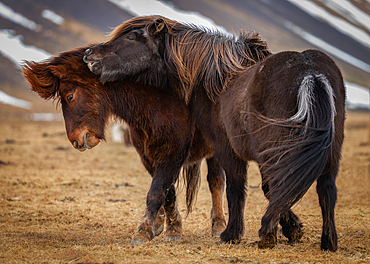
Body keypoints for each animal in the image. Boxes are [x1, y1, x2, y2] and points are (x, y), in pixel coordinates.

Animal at [23, 45, 227, 245]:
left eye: (70, 96)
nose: (76, 140)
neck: (158, 100)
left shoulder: (173, 152)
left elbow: (156, 192)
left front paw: (144, 233)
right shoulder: (147, 155)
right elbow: (167, 192)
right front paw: (170, 227)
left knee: (215, 181)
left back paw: (218, 225)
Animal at [84, 15, 346, 251]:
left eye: (131, 37)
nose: (89, 54)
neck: (218, 80)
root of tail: (310, 74)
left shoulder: (224, 148)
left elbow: (238, 188)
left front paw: (234, 234)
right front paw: (291, 229)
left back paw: (260, 234)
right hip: (330, 153)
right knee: (327, 190)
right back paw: (328, 242)